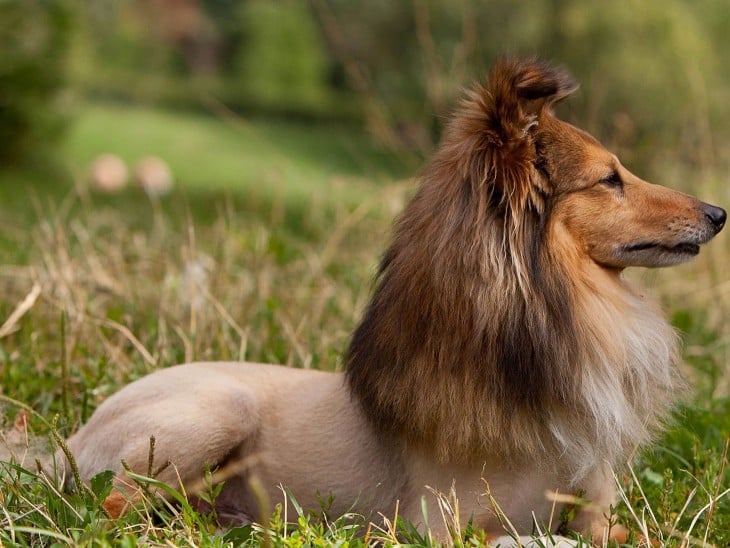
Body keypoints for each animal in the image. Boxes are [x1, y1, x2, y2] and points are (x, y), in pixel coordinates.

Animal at [59, 60, 724, 544]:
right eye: (609, 179)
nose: (718, 213)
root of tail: (72, 441)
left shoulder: (598, 512)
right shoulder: (438, 527)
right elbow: (532, 539)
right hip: (216, 412)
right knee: (116, 505)